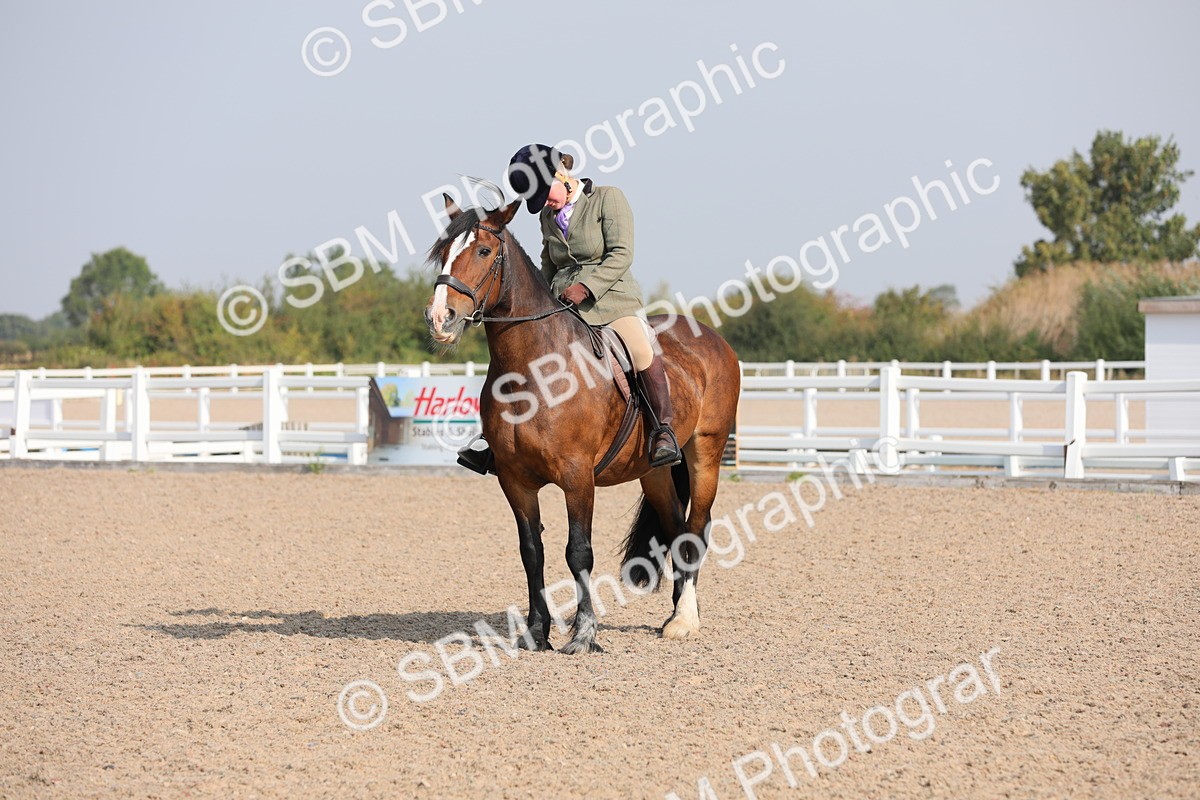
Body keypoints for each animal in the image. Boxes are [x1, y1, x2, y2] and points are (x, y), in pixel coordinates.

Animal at [424, 195, 740, 654]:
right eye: (442, 252)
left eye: (483, 251)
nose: (440, 318)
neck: (534, 370)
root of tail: (711, 337)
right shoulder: (515, 481)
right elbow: (531, 552)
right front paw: (536, 633)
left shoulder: (577, 478)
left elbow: (578, 552)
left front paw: (584, 634)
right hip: (654, 472)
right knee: (676, 528)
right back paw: (676, 613)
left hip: (706, 454)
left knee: (696, 528)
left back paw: (685, 620)